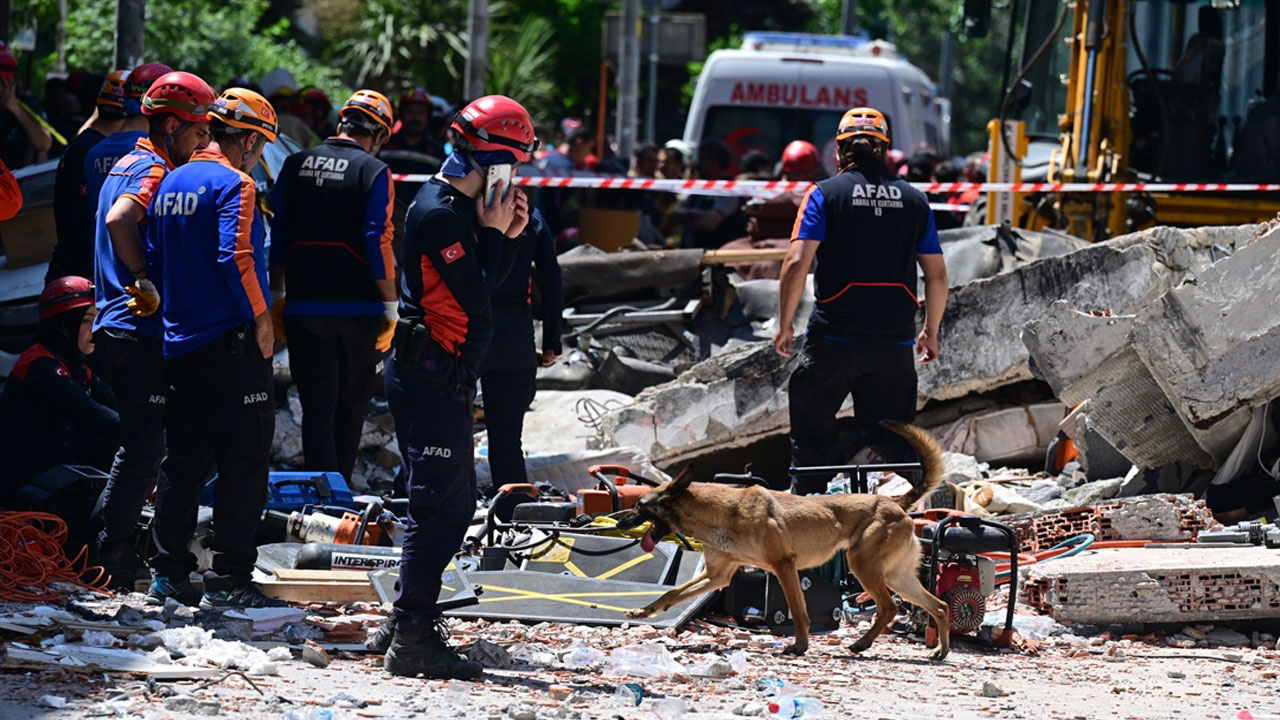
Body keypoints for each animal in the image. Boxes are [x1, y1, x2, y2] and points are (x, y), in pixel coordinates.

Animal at [614, 417, 957, 661]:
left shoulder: (783, 566)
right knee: (939, 606)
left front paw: (799, 646)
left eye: (639, 505)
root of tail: (895, 501)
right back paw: (939, 650)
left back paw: (861, 643)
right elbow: (672, 594)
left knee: (889, 608)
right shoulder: (718, 575)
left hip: (863, 566)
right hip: (897, 576)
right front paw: (642, 612)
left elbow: (798, 611)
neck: (718, 511)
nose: (618, 520)